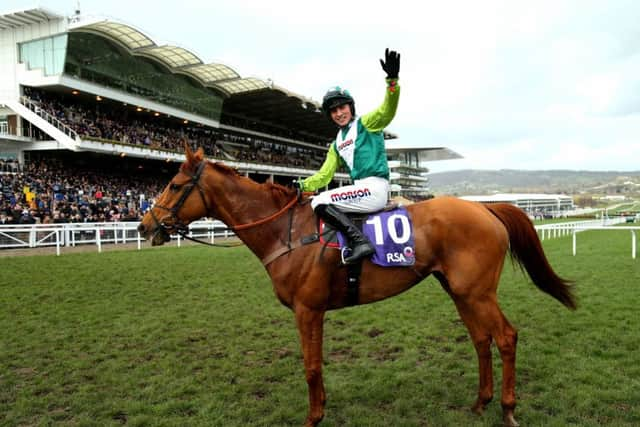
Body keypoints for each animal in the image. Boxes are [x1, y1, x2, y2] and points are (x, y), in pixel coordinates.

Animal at [136, 145, 576, 426]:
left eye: (174, 185)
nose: (144, 226)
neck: (286, 233)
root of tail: (484, 208)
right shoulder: (311, 312)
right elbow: (314, 365)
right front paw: (321, 409)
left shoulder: (307, 310)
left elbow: (311, 366)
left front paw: (313, 417)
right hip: (460, 291)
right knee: (481, 340)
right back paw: (480, 403)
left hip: (478, 292)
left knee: (505, 337)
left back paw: (507, 408)